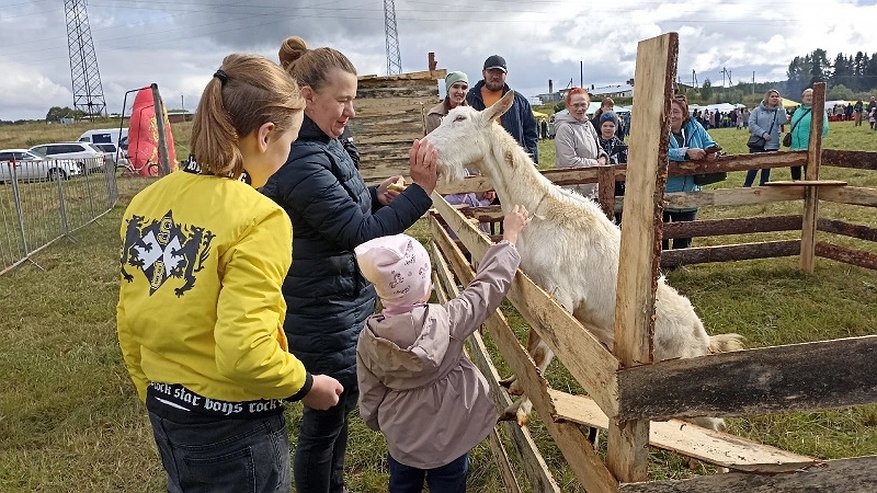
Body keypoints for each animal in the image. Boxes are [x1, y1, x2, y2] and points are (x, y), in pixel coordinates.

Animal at [420, 90, 744, 428]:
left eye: (460, 119)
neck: (539, 210)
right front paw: (516, 381)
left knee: (717, 425)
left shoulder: (563, 296)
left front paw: (521, 407)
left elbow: (543, 352)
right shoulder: (538, 292)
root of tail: (706, 342)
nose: (422, 148)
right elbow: (533, 343)